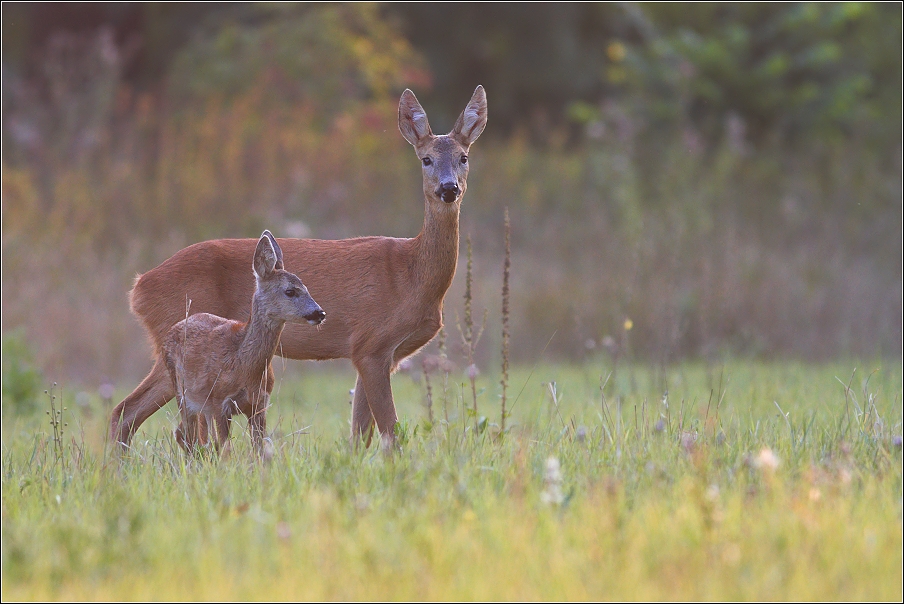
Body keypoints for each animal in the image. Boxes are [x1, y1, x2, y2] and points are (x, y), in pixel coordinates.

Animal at [162, 231, 324, 458]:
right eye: (290, 291)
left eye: (307, 288)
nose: (320, 313)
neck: (243, 366)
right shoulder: (220, 402)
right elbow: (226, 449)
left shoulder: (259, 405)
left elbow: (259, 449)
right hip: (182, 392)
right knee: (187, 434)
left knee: (190, 435)